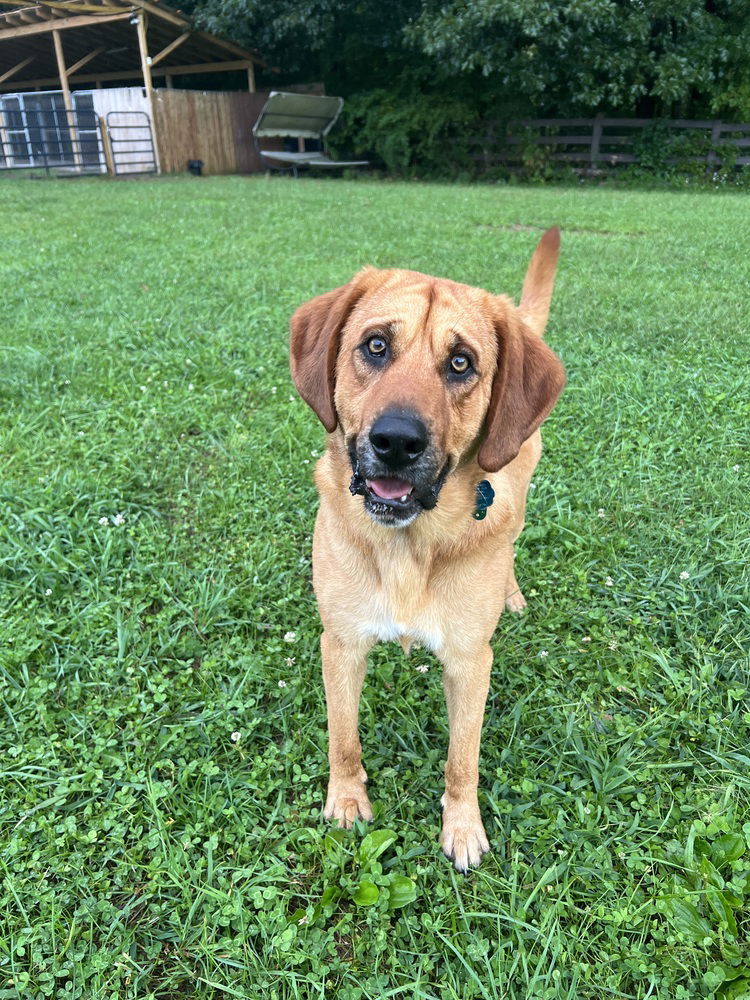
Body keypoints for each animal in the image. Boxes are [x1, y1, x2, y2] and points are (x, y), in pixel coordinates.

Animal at [290, 227, 568, 868]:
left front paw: (463, 827)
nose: (396, 441)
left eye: (461, 362)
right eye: (375, 346)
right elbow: (343, 737)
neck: (407, 547)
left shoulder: (470, 661)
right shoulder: (341, 642)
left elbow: (462, 759)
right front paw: (346, 801)